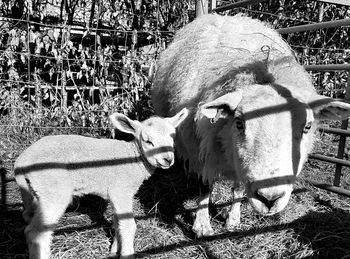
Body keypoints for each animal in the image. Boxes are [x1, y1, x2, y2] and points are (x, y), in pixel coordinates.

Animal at [14, 108, 189, 259]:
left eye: (172, 137)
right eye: (148, 141)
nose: (168, 160)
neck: (133, 158)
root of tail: (22, 161)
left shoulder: (116, 193)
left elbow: (118, 222)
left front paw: (114, 249)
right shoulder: (121, 190)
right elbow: (128, 225)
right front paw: (126, 254)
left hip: (33, 192)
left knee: (28, 217)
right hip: (53, 191)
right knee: (35, 232)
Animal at [152, 13, 350, 238]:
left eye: (307, 127)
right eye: (239, 123)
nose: (269, 199)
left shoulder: (239, 160)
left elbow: (238, 187)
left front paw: (232, 221)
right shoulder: (200, 146)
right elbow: (205, 185)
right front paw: (202, 225)